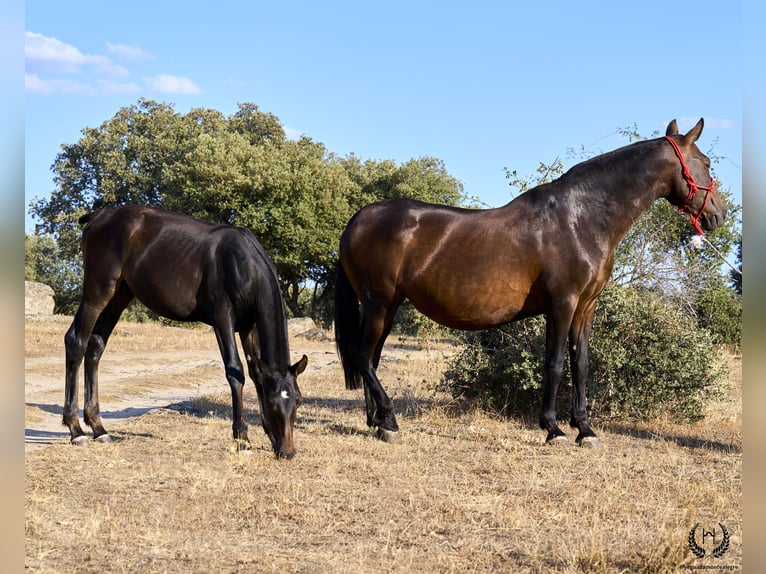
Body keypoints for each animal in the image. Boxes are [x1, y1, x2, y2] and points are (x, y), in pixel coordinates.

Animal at [63, 206, 308, 460]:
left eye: (298, 401)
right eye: (273, 403)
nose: (288, 452)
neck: (243, 264)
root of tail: (98, 217)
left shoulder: (248, 326)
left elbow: (256, 374)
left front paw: (267, 436)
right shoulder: (223, 319)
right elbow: (235, 371)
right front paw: (242, 438)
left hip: (118, 297)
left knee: (94, 347)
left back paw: (99, 428)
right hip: (97, 292)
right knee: (76, 342)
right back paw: (76, 430)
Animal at [336, 119, 728, 448]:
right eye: (706, 162)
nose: (718, 215)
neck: (581, 219)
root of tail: (358, 219)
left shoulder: (585, 307)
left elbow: (581, 364)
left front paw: (585, 430)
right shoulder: (562, 304)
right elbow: (554, 364)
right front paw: (554, 429)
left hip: (388, 306)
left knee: (371, 357)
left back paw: (377, 421)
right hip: (379, 303)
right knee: (361, 354)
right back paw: (389, 421)